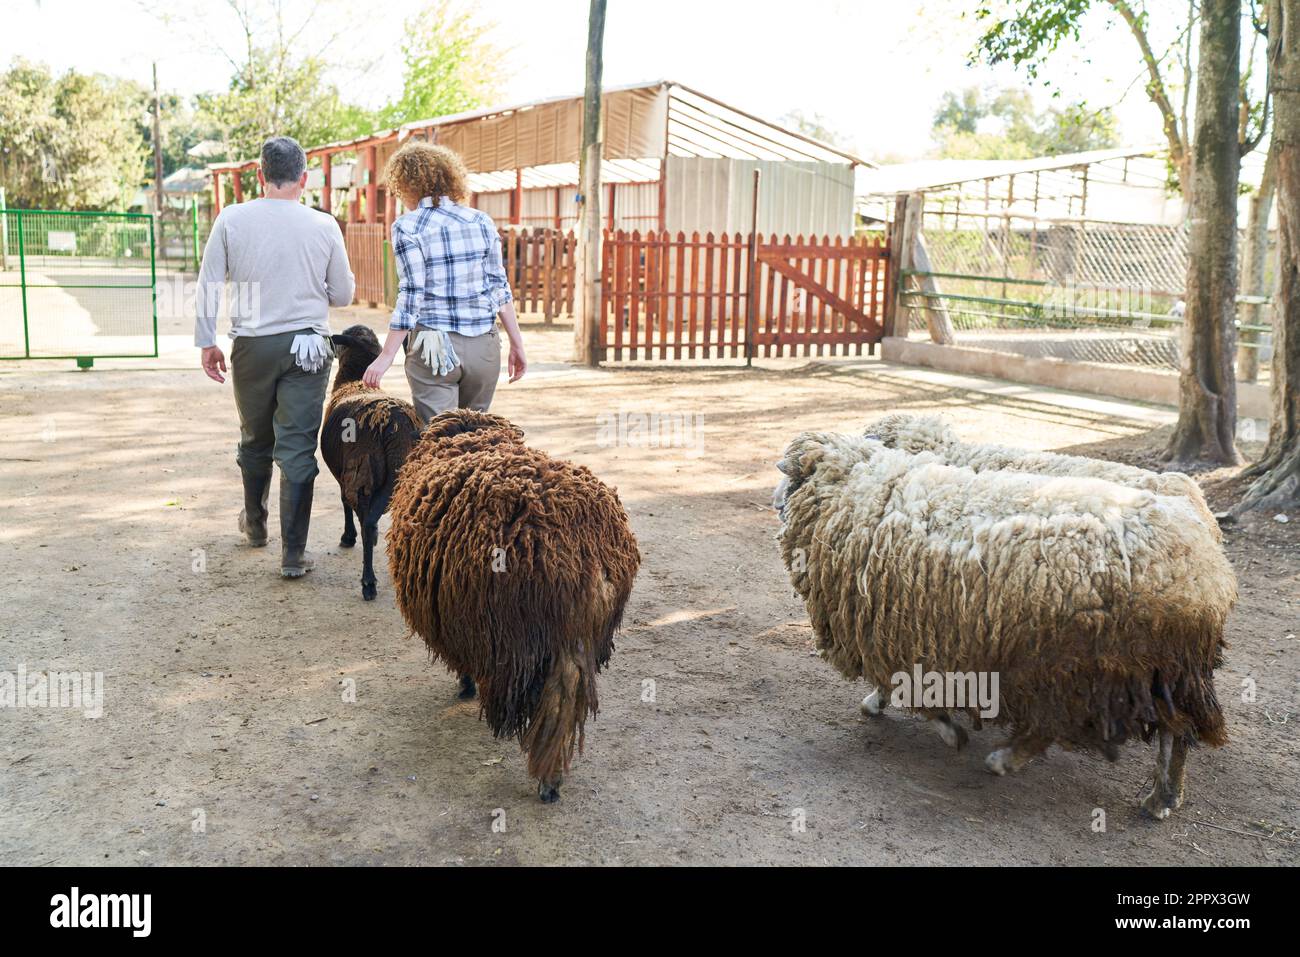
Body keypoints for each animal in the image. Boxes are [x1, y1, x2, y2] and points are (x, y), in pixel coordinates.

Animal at [322, 325, 423, 600]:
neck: (353, 380)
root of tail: (395, 424)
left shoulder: (344, 473)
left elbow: (344, 502)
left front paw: (347, 538)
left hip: (363, 473)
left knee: (367, 522)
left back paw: (369, 583)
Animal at [382, 410, 642, 800]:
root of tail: (586, 542)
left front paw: (466, 685)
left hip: (535, 631)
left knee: (560, 695)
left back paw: (548, 780)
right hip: (581, 630)